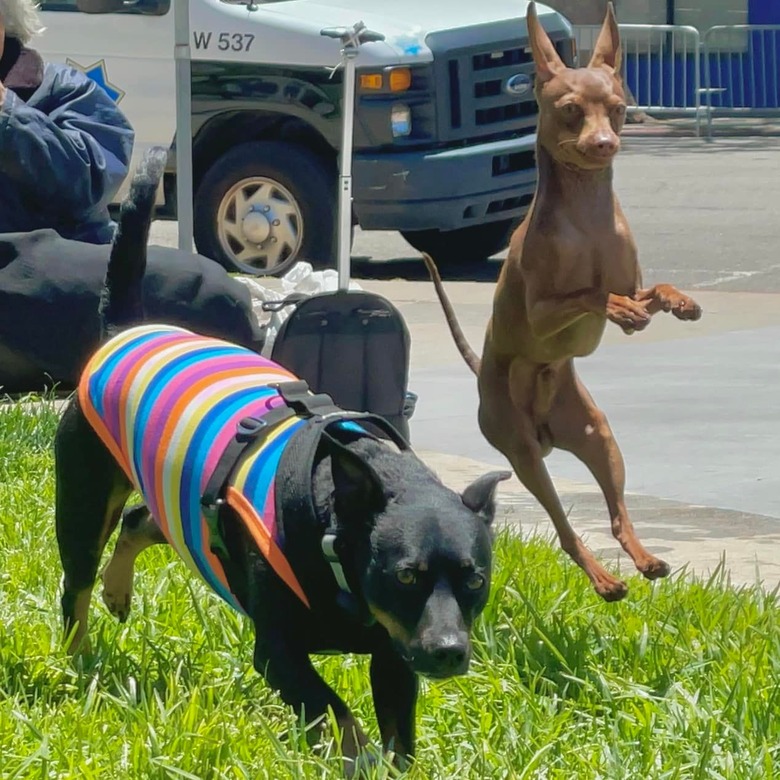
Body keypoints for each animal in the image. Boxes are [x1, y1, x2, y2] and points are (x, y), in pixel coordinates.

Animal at [54, 149, 512, 772]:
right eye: (406, 574)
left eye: (475, 580)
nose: (447, 651)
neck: (333, 536)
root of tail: (126, 329)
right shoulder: (278, 654)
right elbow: (340, 718)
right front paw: (354, 757)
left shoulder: (395, 654)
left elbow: (397, 736)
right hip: (82, 496)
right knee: (76, 585)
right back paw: (80, 659)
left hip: (175, 504)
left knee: (141, 521)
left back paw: (117, 589)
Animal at [424, 1, 704, 604]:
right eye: (571, 111)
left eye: (619, 110)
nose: (605, 145)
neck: (587, 212)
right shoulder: (542, 311)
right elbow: (591, 295)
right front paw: (619, 307)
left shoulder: (633, 281)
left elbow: (652, 289)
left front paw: (681, 302)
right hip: (522, 451)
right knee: (564, 529)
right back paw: (604, 580)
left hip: (598, 438)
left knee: (618, 516)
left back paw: (643, 560)